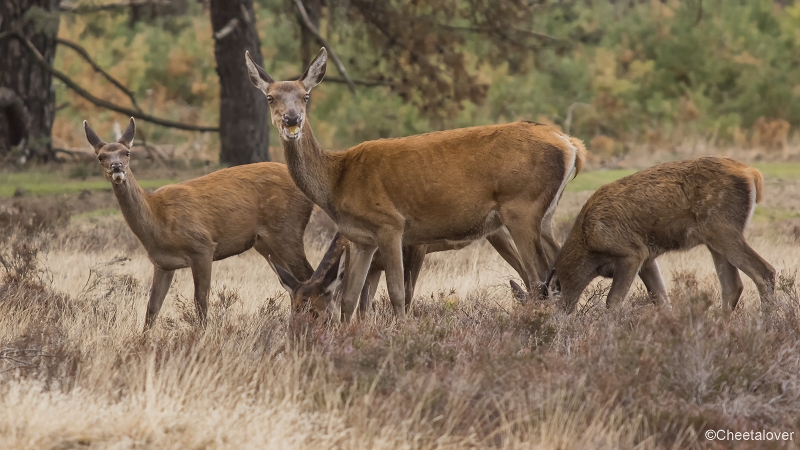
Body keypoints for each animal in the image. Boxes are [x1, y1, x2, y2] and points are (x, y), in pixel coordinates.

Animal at [83, 118, 316, 330]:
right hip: (265, 243)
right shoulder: (162, 263)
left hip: (287, 228)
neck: (158, 221)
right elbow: (152, 308)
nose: (116, 167)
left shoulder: (202, 247)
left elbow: (201, 301)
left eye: (127, 152)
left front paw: (201, 336)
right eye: (100, 156)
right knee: (293, 283)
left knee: (308, 275)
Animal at [245, 47, 588, 322]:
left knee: (541, 277)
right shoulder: (361, 239)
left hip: (522, 207)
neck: (336, 180)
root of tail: (571, 145)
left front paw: (401, 333)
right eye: (270, 98)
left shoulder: (391, 224)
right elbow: (350, 299)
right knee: (559, 268)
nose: (292, 119)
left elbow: (398, 294)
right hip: (543, 216)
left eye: (305, 96)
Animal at [544, 156, 776, 314]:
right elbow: (661, 300)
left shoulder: (631, 251)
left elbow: (613, 301)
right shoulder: (647, 258)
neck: (589, 249)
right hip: (714, 238)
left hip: (722, 227)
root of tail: (753, 174)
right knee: (732, 285)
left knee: (765, 272)